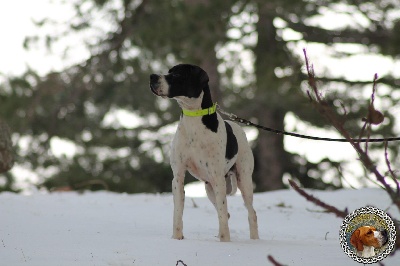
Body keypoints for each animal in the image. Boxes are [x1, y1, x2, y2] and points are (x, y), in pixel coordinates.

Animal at [150, 64, 260, 241]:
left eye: (177, 74)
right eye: (168, 71)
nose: (152, 76)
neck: (194, 118)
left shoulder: (218, 179)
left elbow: (223, 214)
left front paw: (225, 242)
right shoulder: (178, 177)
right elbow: (177, 213)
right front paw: (177, 238)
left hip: (243, 180)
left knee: (250, 213)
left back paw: (254, 240)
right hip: (209, 188)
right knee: (226, 213)